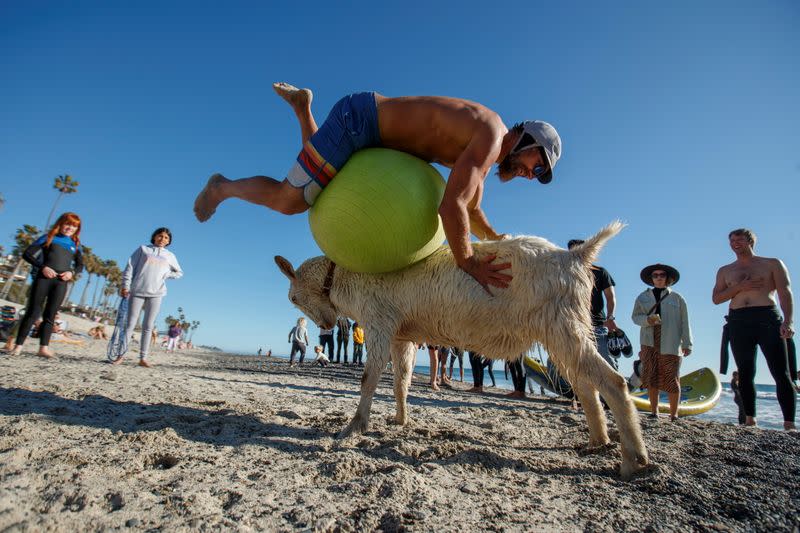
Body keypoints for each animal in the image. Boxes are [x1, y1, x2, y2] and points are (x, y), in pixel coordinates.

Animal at [276, 220, 648, 478]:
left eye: (293, 298)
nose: (326, 325)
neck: (341, 277)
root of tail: (576, 255)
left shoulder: (379, 322)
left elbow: (369, 378)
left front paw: (353, 428)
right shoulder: (401, 335)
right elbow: (402, 381)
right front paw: (400, 420)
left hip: (562, 323)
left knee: (612, 382)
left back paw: (634, 461)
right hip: (563, 326)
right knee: (584, 383)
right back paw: (598, 442)